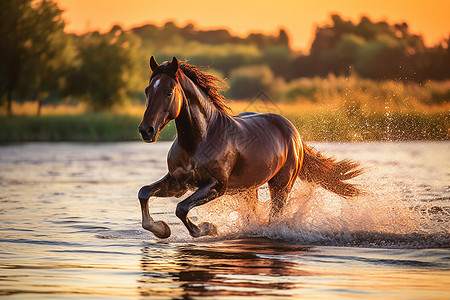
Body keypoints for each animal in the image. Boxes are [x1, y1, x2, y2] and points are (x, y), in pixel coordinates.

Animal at [137, 56, 362, 239]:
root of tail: (294, 133)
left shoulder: (217, 186)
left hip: (281, 186)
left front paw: (209, 228)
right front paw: (161, 229)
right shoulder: (179, 183)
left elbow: (181, 208)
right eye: (148, 91)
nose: (146, 130)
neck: (199, 140)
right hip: (248, 189)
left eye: (169, 92)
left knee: (275, 216)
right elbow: (144, 192)